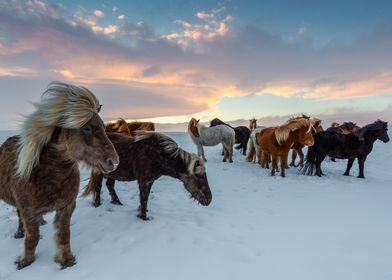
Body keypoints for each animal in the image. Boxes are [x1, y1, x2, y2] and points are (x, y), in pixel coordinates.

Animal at [0, 81, 118, 270]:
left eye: (103, 126)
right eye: (86, 128)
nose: (113, 161)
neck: (49, 176)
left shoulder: (66, 207)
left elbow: (63, 235)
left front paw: (66, 260)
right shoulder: (28, 211)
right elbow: (32, 238)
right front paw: (25, 262)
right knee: (19, 216)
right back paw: (20, 232)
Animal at [82, 130, 211, 220]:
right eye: (198, 176)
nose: (209, 200)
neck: (158, 156)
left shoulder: (150, 181)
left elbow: (146, 197)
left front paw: (142, 211)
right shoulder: (143, 181)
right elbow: (144, 198)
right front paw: (143, 217)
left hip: (113, 173)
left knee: (109, 185)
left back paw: (117, 202)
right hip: (99, 173)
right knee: (98, 187)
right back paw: (97, 204)